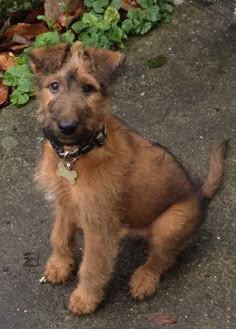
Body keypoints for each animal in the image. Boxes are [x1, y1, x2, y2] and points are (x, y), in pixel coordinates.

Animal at [30, 41, 227, 316]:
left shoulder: (99, 225)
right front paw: (60, 266)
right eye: (54, 86)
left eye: (88, 88)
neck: (76, 154)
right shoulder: (65, 203)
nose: (66, 127)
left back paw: (144, 279)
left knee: (162, 258)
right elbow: (59, 236)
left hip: (169, 224)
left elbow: (92, 266)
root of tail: (201, 195)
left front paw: (85, 298)